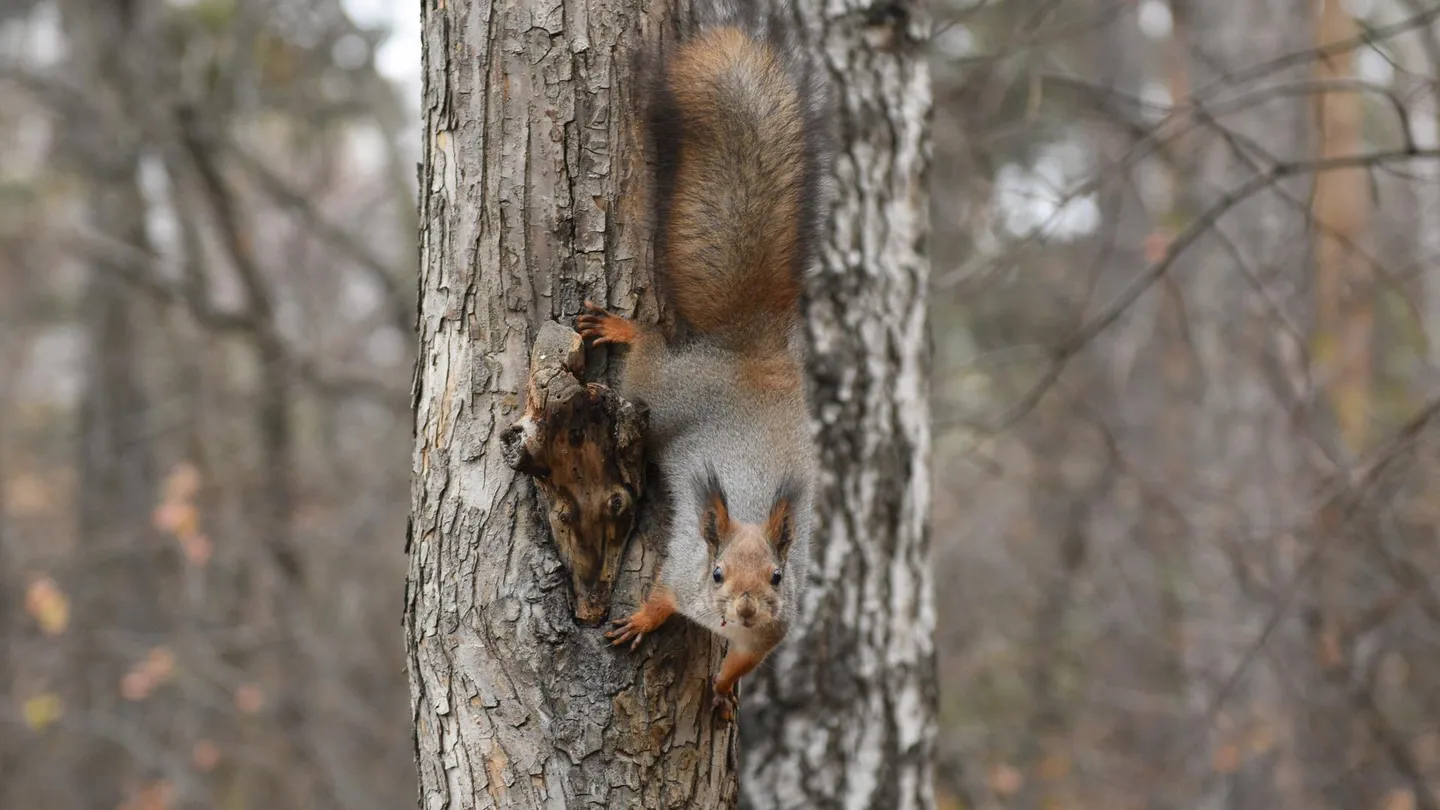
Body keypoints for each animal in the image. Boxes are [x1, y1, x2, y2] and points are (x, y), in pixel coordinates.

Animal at [570, 9, 823, 717]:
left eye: (778, 576)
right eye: (717, 573)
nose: (745, 607)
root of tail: (756, 359)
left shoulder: (775, 630)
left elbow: (747, 660)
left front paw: (726, 688)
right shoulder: (682, 571)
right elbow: (663, 594)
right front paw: (643, 620)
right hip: (664, 395)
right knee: (648, 359)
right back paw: (624, 328)